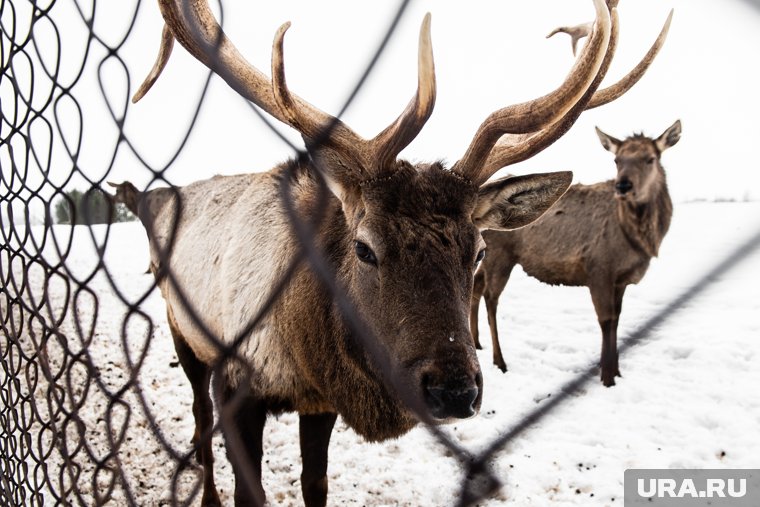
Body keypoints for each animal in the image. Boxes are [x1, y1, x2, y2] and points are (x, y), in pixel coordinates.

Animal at [472, 120, 680, 388]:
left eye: (650, 158)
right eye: (617, 160)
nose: (623, 186)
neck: (636, 241)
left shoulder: (620, 279)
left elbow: (617, 318)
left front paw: (616, 371)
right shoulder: (599, 269)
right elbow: (606, 320)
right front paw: (607, 376)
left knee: (477, 286)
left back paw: (477, 343)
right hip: (500, 254)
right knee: (491, 297)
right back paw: (500, 361)